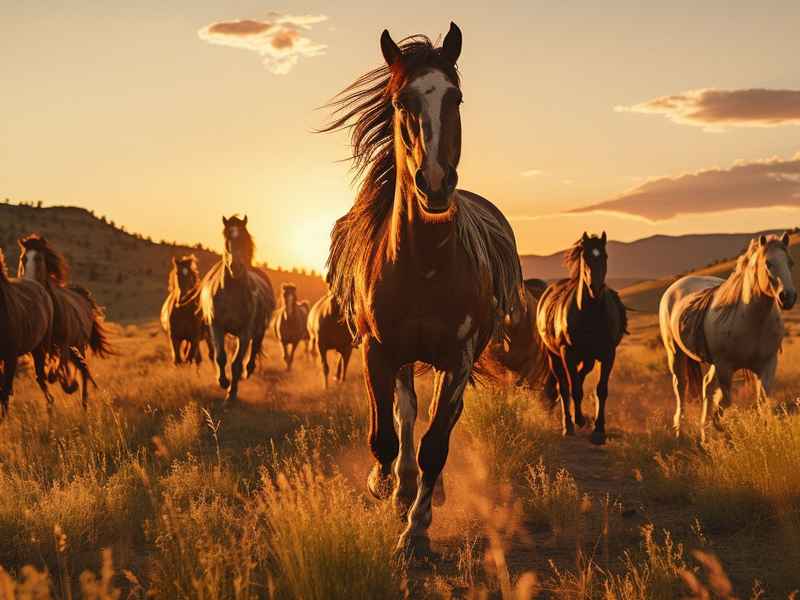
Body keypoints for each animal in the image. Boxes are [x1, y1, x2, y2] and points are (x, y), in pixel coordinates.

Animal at [18, 235, 113, 409]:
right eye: (23, 259)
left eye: (39, 258)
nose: (29, 285)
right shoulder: (38, 350)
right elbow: (40, 377)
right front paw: (51, 403)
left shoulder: (63, 344)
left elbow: (54, 373)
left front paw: (70, 384)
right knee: (79, 366)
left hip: (79, 344)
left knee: (83, 370)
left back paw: (83, 401)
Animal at [199, 215, 276, 402]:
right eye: (227, 238)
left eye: (243, 239)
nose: (235, 267)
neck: (231, 292)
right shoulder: (216, 327)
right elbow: (221, 357)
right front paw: (223, 382)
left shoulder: (245, 332)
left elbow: (236, 363)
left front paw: (231, 394)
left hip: (259, 330)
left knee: (253, 350)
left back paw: (247, 371)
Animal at [320, 23, 524, 556]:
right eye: (401, 101)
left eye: (455, 97)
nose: (434, 182)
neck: (425, 265)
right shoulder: (377, 351)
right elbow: (387, 434)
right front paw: (386, 485)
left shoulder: (458, 358)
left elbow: (437, 443)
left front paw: (416, 529)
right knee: (407, 411)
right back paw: (400, 484)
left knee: (434, 419)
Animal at [534, 232, 627, 445]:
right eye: (585, 257)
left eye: (605, 256)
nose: (595, 288)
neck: (590, 313)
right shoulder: (567, 353)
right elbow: (574, 388)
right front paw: (579, 420)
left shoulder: (608, 354)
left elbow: (601, 389)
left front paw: (599, 430)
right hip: (555, 357)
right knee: (564, 386)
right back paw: (568, 425)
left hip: (589, 358)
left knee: (579, 376)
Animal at [660, 232, 796, 439]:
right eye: (768, 263)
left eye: (790, 262)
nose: (788, 297)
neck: (751, 320)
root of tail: (675, 286)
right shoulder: (725, 367)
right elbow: (726, 400)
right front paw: (720, 427)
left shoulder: (767, 365)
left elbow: (762, 402)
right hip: (675, 353)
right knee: (681, 387)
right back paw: (680, 430)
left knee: (706, 385)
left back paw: (704, 433)